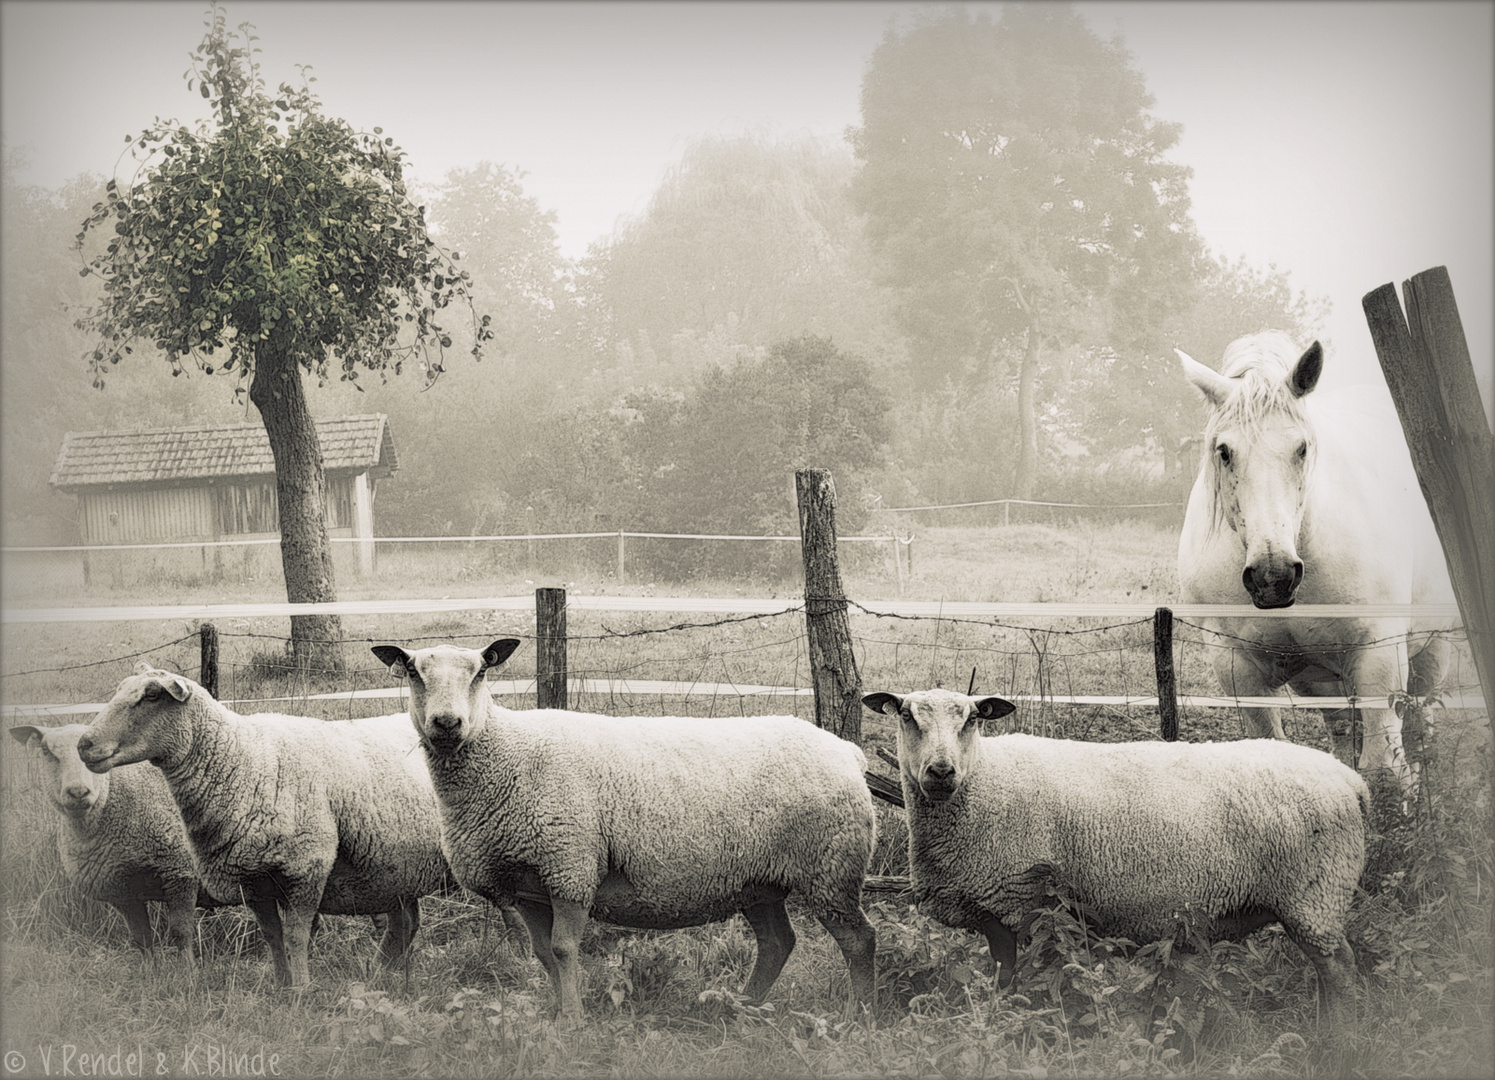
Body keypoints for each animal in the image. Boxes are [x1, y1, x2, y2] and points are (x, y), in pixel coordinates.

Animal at [9, 718, 227, 957]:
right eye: (47, 752)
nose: (78, 792)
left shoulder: (180, 873)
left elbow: (181, 934)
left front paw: (186, 968)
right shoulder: (123, 893)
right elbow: (142, 940)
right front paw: (151, 967)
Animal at [75, 655, 454, 987]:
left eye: (152, 696)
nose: (84, 745)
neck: (243, 760)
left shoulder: (306, 867)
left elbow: (296, 937)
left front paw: (302, 990)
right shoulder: (253, 878)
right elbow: (272, 936)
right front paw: (281, 987)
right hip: (398, 869)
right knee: (405, 922)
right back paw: (381, 974)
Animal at [373, 634, 879, 1023]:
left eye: (480, 673)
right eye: (413, 672)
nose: (446, 723)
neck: (504, 751)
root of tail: (847, 751)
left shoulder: (570, 866)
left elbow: (563, 949)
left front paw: (573, 1021)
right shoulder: (530, 883)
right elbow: (543, 954)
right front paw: (556, 1014)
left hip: (830, 868)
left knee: (858, 940)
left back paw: (859, 1016)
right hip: (759, 879)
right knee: (777, 943)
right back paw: (740, 1006)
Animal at [867, 685, 1369, 1023]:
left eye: (972, 719)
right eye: (907, 716)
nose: (941, 771)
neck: (981, 781)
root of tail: (1350, 779)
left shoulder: (1016, 902)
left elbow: (1014, 978)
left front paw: (1010, 1022)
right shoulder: (1005, 909)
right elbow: (1005, 977)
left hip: (1315, 894)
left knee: (1340, 969)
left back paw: (1335, 1042)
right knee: (1328, 971)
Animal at [1172, 326, 1453, 783]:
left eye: (1302, 448)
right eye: (1224, 451)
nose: (1274, 577)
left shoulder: (1378, 658)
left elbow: (1384, 771)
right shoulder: (1238, 667)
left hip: (1431, 654)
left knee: (1419, 735)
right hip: (1322, 679)